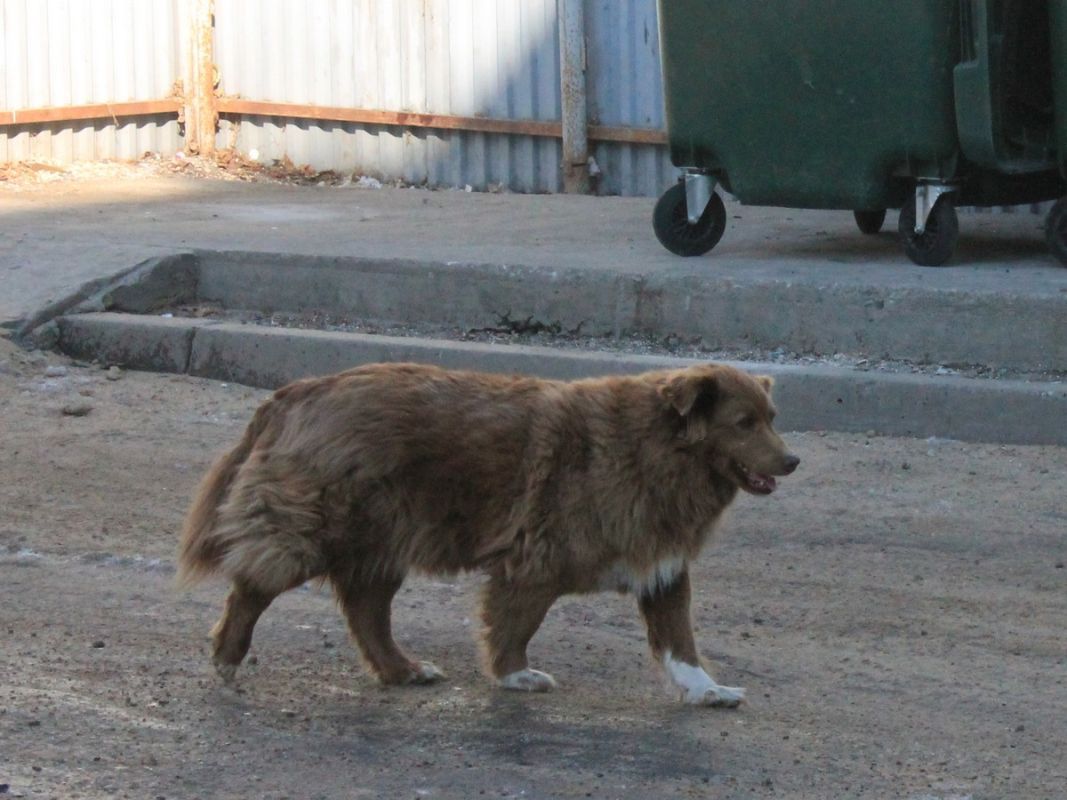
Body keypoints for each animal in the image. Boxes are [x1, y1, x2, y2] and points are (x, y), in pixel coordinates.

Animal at [181, 362, 802, 708]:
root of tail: (297, 390)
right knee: (255, 586)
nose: (793, 460)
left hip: (383, 540)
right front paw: (515, 675)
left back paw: (402, 670)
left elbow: (680, 642)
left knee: (366, 610)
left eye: (774, 417)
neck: (657, 448)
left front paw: (706, 690)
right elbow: (515, 624)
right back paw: (228, 656)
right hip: (321, 526)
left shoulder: (662, 568)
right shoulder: (535, 561)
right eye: (744, 423)